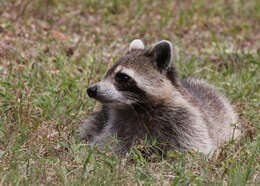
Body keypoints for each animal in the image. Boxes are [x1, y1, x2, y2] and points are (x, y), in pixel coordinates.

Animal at [78, 40, 240, 155]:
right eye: (107, 72)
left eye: (122, 77)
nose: (91, 90)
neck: (138, 106)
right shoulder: (116, 122)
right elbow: (108, 143)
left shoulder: (186, 120)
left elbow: (193, 148)